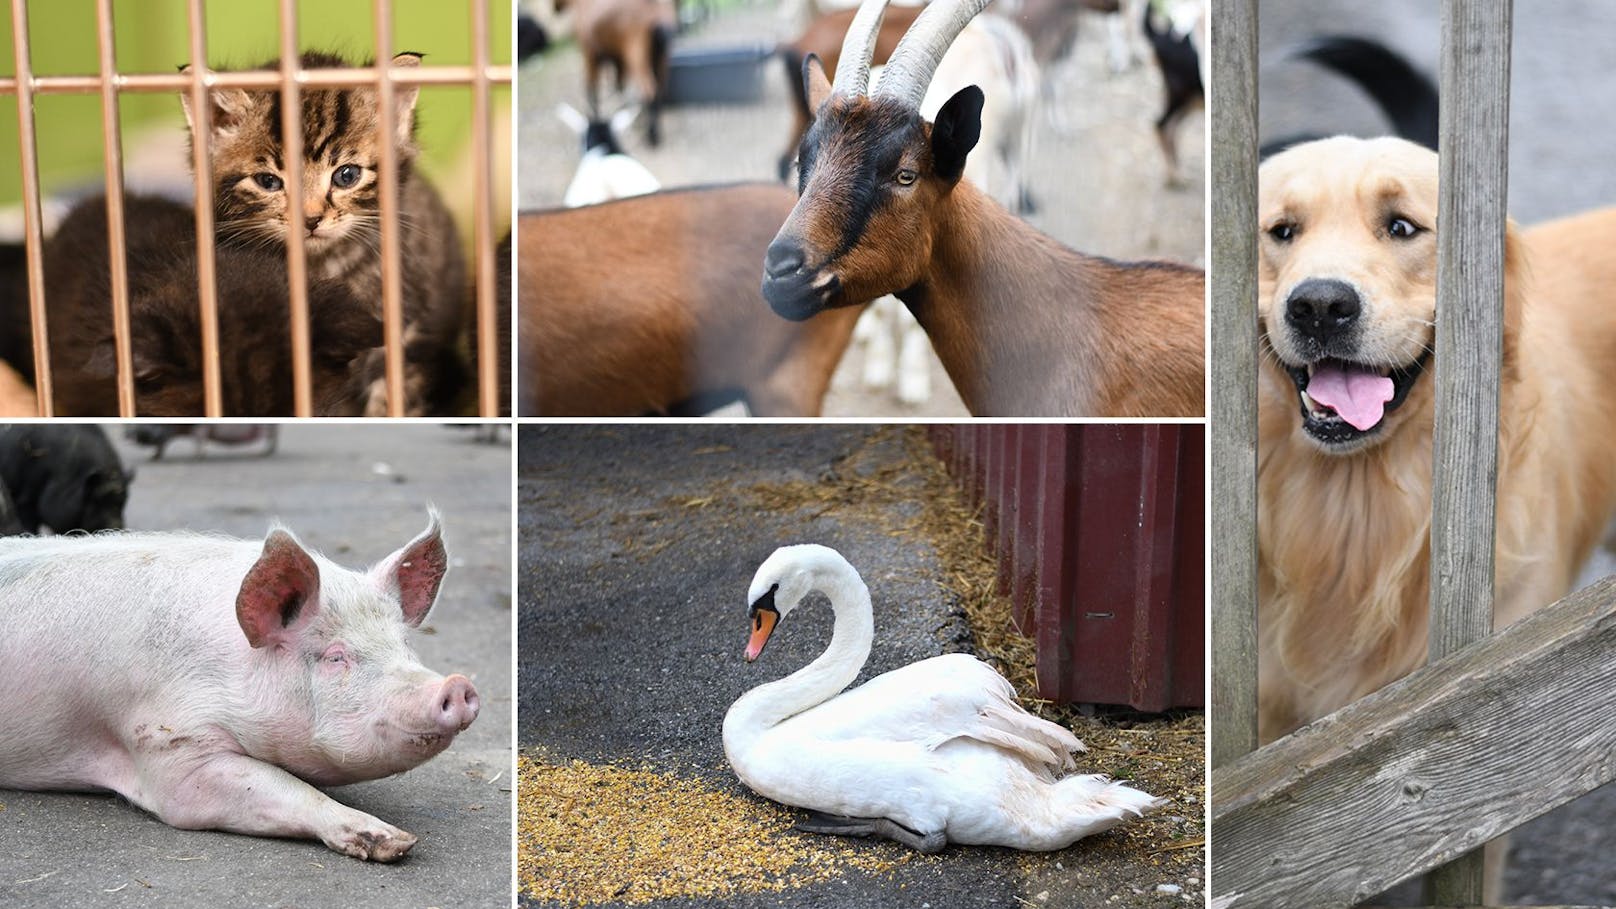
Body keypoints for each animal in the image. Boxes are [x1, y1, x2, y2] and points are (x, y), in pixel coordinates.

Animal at [0, 511, 478, 854]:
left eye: (404, 644)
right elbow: (278, 787)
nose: (456, 684)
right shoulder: (168, 744)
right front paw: (396, 841)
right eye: (335, 656)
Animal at [572, 0, 672, 144]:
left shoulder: (590, 55)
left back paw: (651, 136)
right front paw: (625, 109)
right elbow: (619, 84)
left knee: (649, 91)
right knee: (659, 88)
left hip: (637, 56)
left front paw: (594, 116)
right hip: (660, 59)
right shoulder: (617, 59)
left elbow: (591, 87)